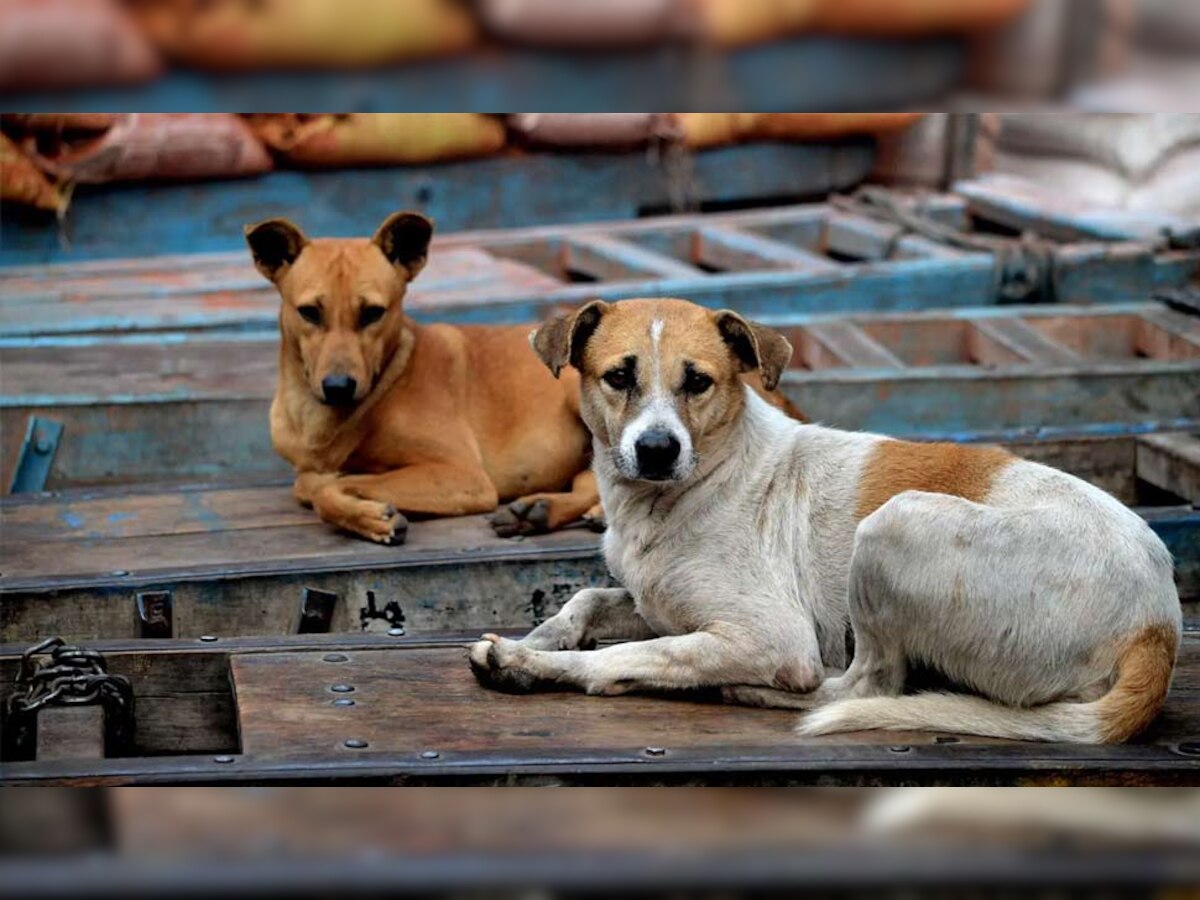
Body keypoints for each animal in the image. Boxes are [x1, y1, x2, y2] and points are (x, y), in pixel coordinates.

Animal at [246, 213, 600, 542]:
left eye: (373, 312)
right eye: (309, 312)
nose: (338, 388)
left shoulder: (462, 474)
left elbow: (327, 488)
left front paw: (369, 517)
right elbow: (311, 482)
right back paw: (541, 510)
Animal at [468, 300, 1180, 744]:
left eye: (698, 382)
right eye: (619, 376)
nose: (658, 450)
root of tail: (1159, 625)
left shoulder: (770, 635)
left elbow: (623, 657)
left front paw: (528, 664)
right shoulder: (662, 604)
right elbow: (588, 600)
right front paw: (542, 638)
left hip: (894, 525)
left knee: (865, 686)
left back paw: (752, 693)